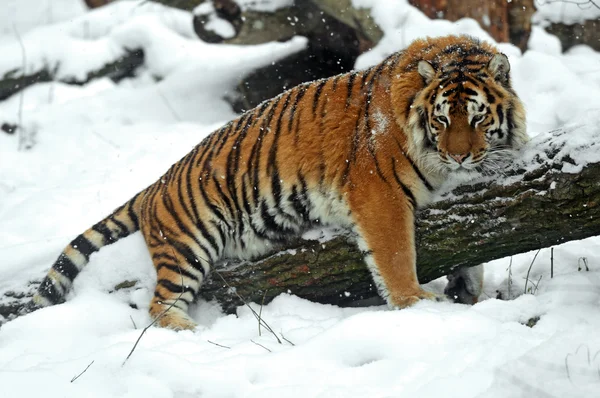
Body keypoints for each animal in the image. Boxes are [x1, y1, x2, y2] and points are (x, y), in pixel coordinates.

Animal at [34, 35, 524, 330]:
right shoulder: (378, 194)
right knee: (160, 305)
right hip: (188, 244)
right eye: (441, 120)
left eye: (477, 118)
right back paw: (190, 330)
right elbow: (397, 256)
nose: (458, 154)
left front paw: (467, 287)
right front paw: (415, 303)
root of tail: (156, 183)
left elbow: (466, 244)